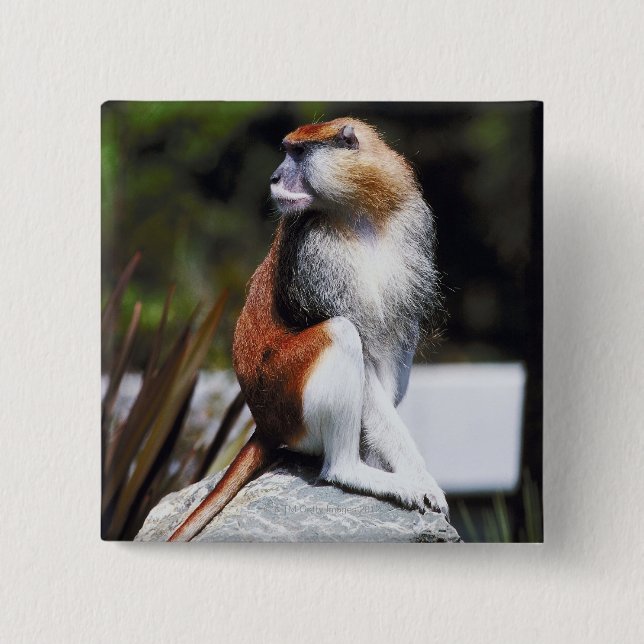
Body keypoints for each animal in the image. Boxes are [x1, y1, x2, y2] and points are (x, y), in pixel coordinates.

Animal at [169, 117, 448, 542]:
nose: (274, 177)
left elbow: (389, 345)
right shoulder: (315, 253)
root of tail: (264, 424)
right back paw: (350, 470)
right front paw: (421, 480)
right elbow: (362, 358)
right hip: (288, 395)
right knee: (341, 333)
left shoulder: (412, 224)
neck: (359, 210)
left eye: (297, 153)